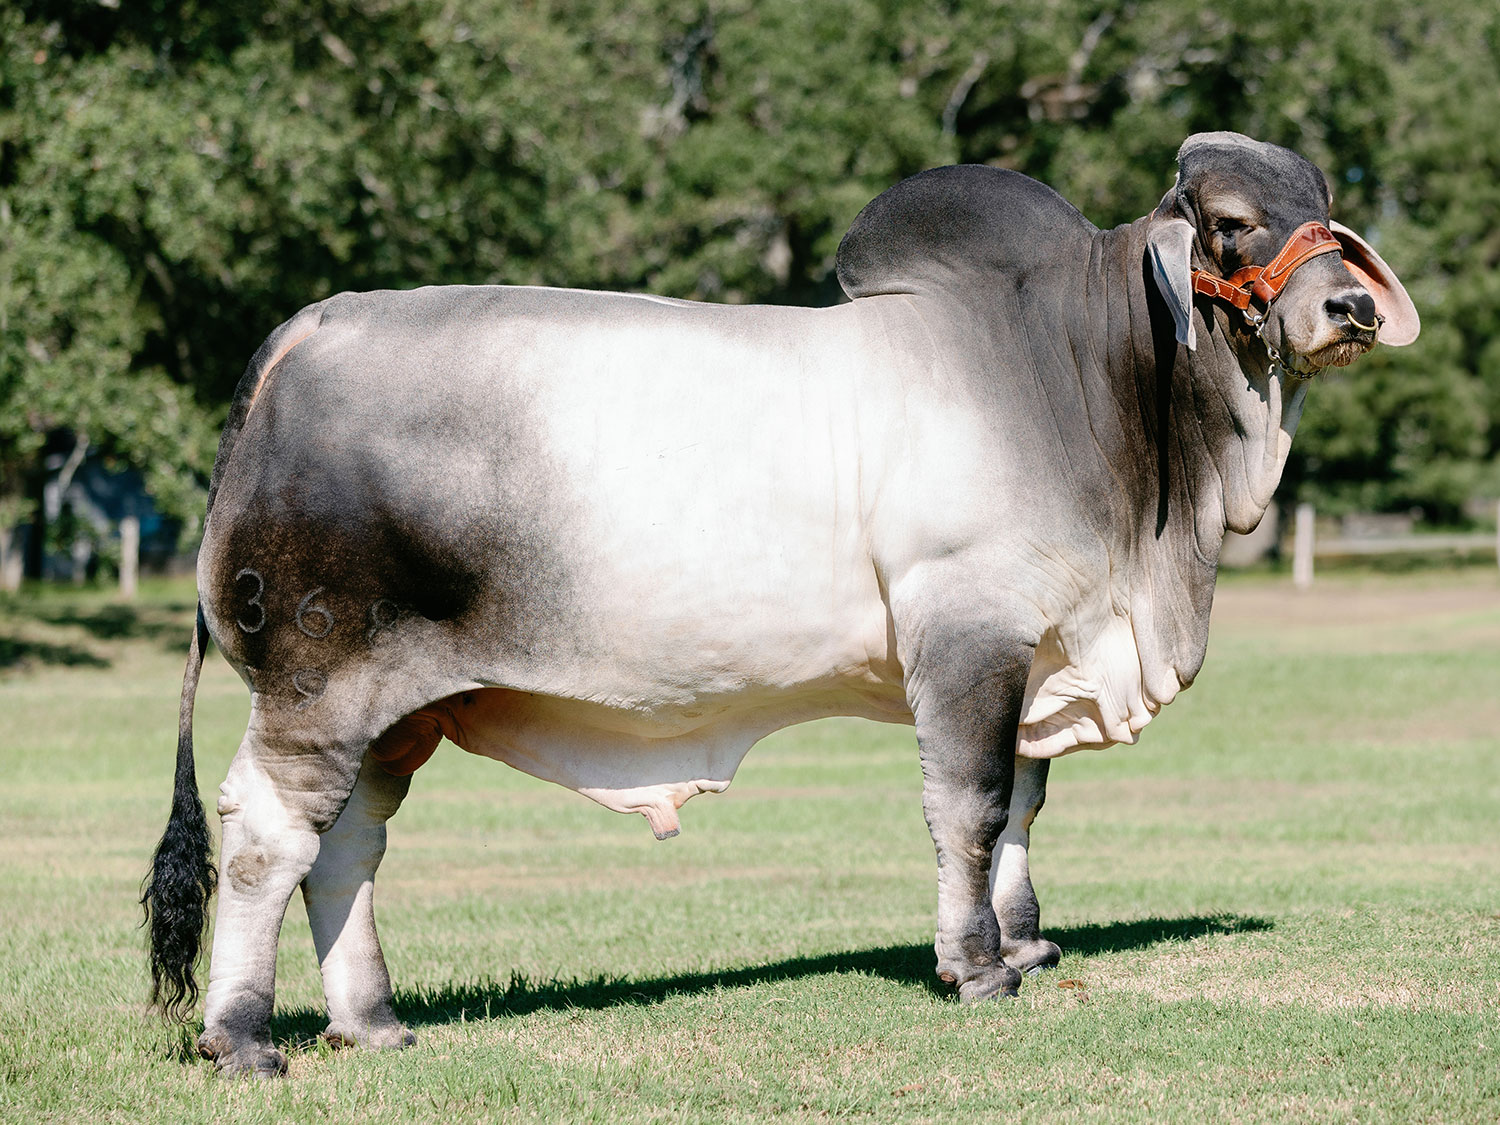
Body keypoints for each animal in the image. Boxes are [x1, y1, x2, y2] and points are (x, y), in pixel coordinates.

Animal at [143, 132, 1416, 1074]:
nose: (1349, 310)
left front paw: (1027, 943)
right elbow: (970, 807)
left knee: (348, 847)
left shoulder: (1036, 647)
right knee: (266, 838)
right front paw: (977, 968)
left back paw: (372, 1022)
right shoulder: (968, 637)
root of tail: (308, 327)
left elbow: (1023, 807)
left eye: (1326, 203)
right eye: (1230, 222)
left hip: (398, 707)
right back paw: (243, 1038)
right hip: (319, 682)